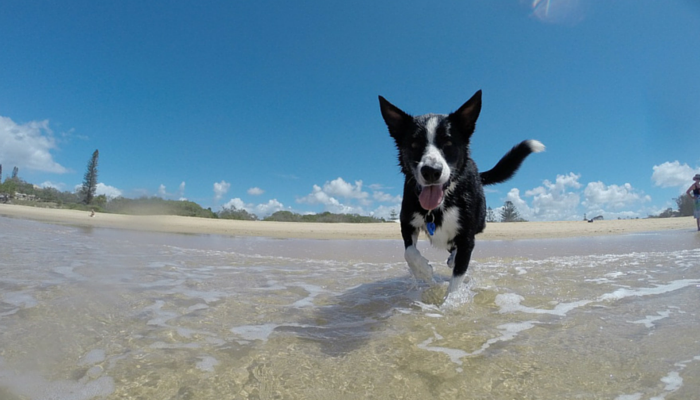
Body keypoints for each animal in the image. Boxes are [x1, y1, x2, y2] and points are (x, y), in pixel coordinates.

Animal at [380, 91, 544, 296]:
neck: (439, 206)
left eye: (448, 143)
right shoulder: (407, 223)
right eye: (414, 144)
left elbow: (457, 278)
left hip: (480, 219)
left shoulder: (466, 237)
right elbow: (409, 252)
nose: (431, 171)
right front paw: (424, 271)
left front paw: (450, 301)